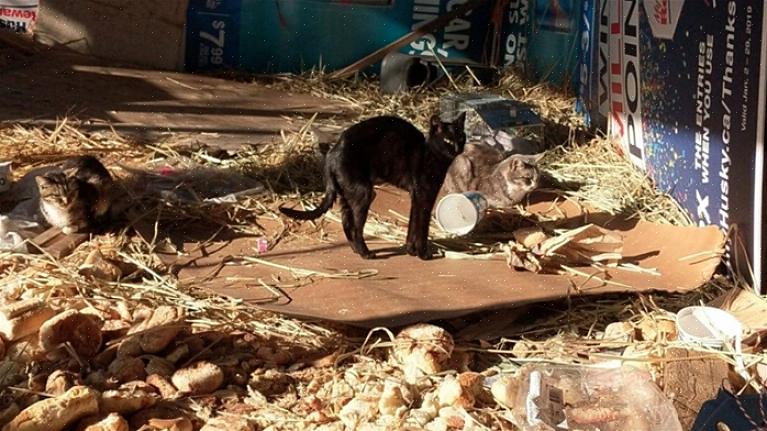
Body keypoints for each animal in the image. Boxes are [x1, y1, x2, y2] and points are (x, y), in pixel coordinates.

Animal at [280, 113, 464, 260]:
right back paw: (366, 254)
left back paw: (356, 250)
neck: (431, 155)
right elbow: (422, 226)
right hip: (364, 192)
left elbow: (412, 224)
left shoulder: (416, 197)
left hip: (348, 194)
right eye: (447, 140)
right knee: (355, 228)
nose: (458, 148)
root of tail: (332, 152)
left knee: (346, 223)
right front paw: (423, 254)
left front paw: (411, 250)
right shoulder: (425, 196)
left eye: (462, 137)